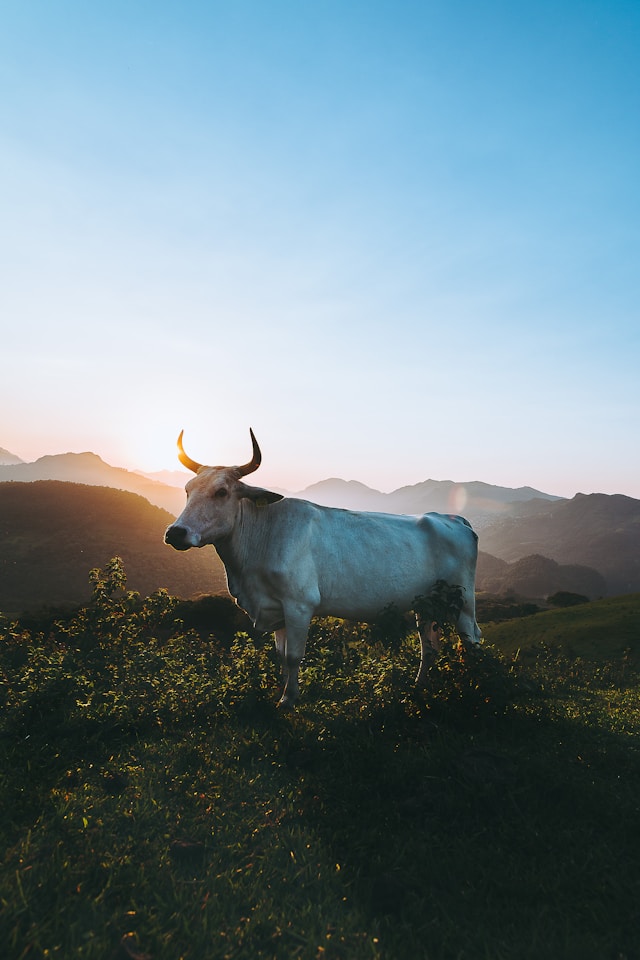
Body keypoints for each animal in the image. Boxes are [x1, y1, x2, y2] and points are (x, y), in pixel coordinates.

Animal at [165, 432, 480, 708]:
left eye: (221, 492)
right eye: (187, 490)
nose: (175, 532)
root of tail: (452, 518)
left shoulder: (299, 604)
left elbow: (293, 656)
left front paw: (288, 700)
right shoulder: (275, 608)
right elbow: (280, 656)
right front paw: (283, 691)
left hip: (462, 601)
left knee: (471, 640)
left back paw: (474, 687)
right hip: (426, 604)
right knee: (429, 646)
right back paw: (420, 686)